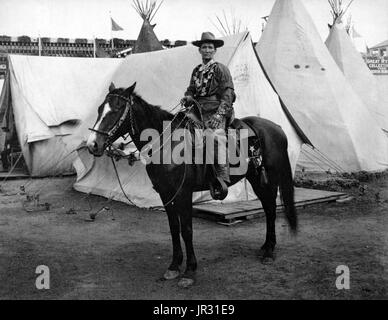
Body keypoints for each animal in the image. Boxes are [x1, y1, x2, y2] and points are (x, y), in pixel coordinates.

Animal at [85, 82, 298, 288]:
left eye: (116, 109)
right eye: (99, 109)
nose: (92, 145)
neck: (168, 145)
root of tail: (276, 128)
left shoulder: (183, 194)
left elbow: (187, 230)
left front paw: (189, 271)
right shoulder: (165, 194)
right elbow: (174, 228)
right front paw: (173, 266)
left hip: (268, 179)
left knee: (271, 209)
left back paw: (269, 252)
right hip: (255, 179)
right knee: (268, 207)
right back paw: (266, 247)